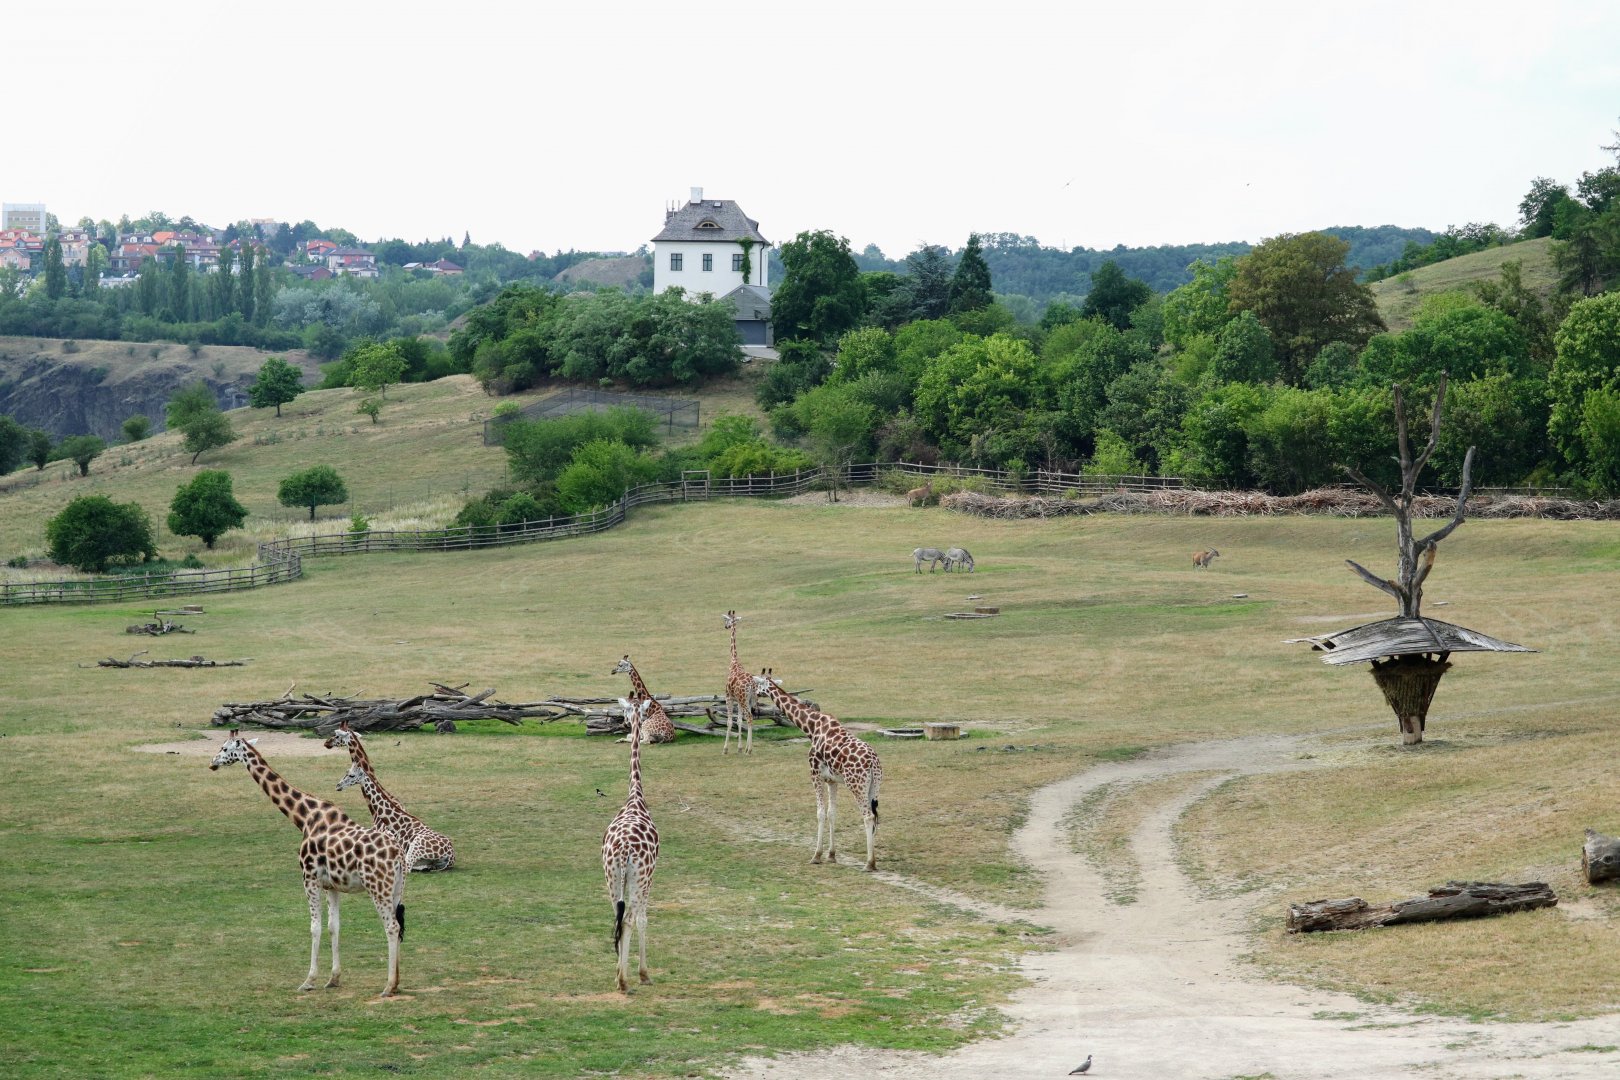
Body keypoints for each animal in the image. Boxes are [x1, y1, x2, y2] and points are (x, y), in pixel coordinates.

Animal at [208, 730, 406, 996]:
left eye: (225, 747)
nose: (213, 763)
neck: (304, 817)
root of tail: (398, 854)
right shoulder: (332, 885)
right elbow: (334, 926)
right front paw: (333, 978)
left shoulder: (309, 877)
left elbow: (315, 926)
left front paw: (309, 980)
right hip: (396, 889)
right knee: (398, 925)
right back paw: (397, 982)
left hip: (378, 887)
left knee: (392, 927)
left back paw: (388, 986)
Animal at [751, 669, 884, 871]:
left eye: (757, 685)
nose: (753, 706)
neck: (811, 727)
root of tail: (874, 763)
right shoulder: (831, 780)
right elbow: (832, 813)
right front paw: (831, 855)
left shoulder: (814, 774)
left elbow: (820, 813)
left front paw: (816, 855)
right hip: (873, 787)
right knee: (875, 816)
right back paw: (873, 861)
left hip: (857, 785)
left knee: (868, 817)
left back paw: (869, 864)